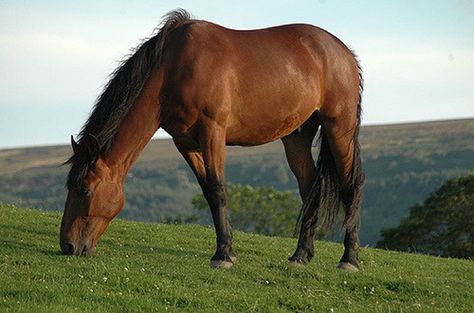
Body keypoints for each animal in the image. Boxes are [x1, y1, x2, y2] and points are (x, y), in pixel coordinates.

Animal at [59, 8, 362, 270]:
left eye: (84, 189)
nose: (68, 246)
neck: (174, 68)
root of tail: (345, 52)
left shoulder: (212, 131)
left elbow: (218, 190)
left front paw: (223, 255)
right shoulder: (185, 142)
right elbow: (207, 191)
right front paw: (226, 249)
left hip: (339, 128)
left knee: (351, 186)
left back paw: (349, 259)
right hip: (296, 137)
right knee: (310, 187)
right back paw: (301, 254)